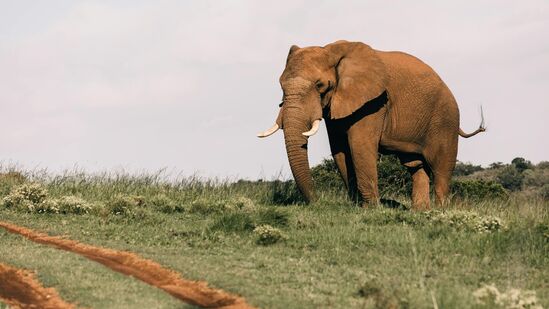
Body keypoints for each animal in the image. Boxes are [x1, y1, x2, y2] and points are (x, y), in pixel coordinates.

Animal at [256, 40, 484, 209]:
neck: (332, 50)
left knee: (441, 168)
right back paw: (420, 212)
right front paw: (357, 206)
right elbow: (339, 149)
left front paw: (371, 209)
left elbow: (359, 146)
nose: (316, 202)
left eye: (321, 86)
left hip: (445, 120)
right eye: (281, 85)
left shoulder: (374, 102)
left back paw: (440, 211)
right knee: (416, 166)